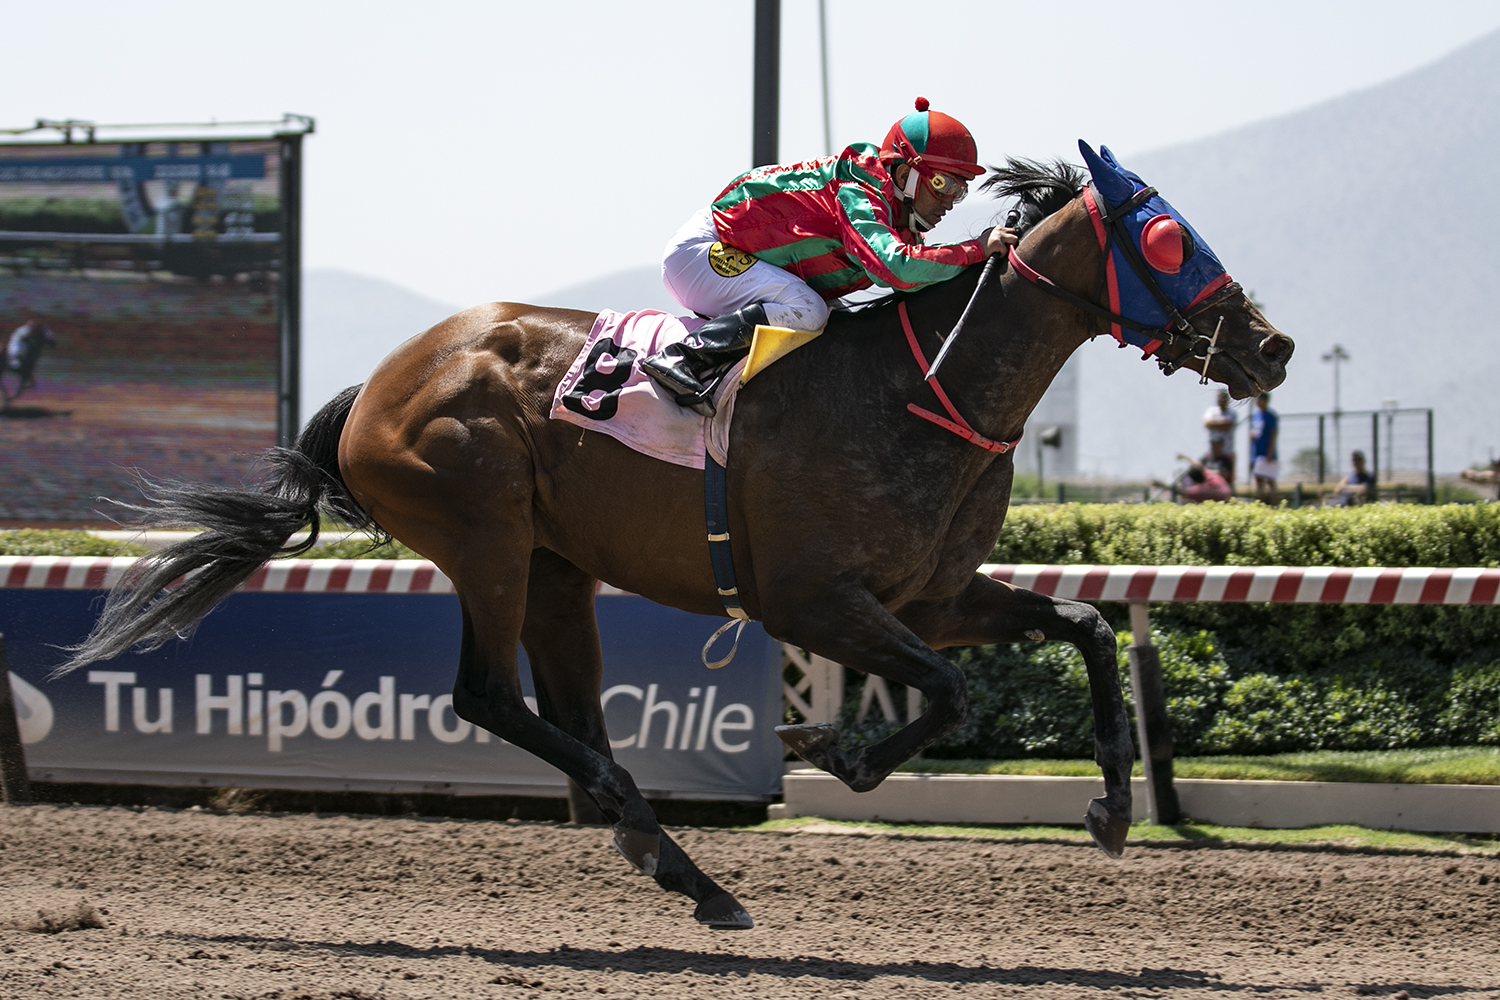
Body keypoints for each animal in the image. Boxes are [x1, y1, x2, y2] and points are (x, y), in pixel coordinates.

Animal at [62, 144, 1293, 930]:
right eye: (1169, 240)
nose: (1273, 347)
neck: (918, 388)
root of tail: (380, 384)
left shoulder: (934, 594)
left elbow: (1083, 623)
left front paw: (1114, 808)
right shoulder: (811, 599)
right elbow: (947, 692)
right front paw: (832, 748)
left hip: (555, 568)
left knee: (569, 714)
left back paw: (676, 862)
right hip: (483, 535)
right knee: (487, 696)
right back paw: (673, 855)